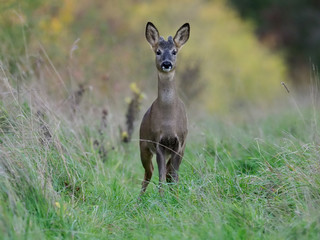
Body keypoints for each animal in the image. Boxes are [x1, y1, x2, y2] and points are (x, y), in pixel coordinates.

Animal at [140, 21, 190, 196]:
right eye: (158, 51)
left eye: (174, 51)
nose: (166, 63)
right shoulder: (158, 142)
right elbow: (161, 175)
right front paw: (162, 197)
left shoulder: (179, 143)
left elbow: (173, 174)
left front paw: (175, 197)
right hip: (143, 145)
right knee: (148, 172)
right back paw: (139, 198)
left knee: (168, 172)